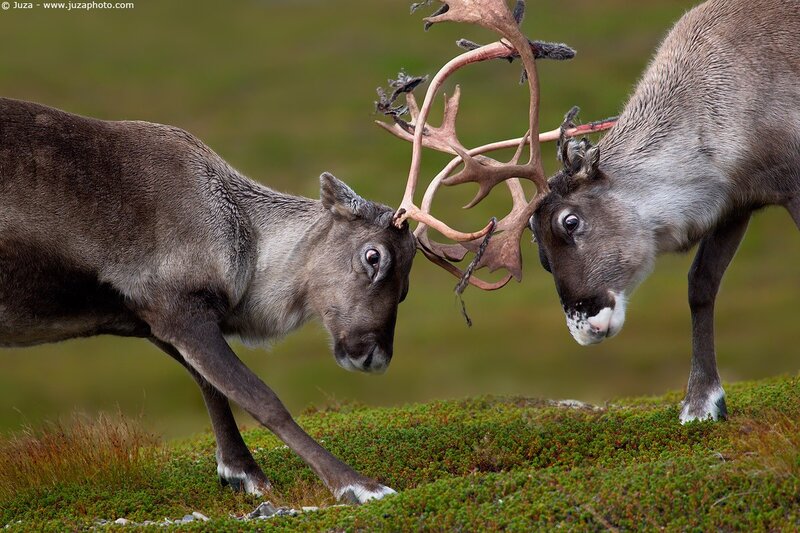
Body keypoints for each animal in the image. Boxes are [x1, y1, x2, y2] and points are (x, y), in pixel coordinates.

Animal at [0, 96, 416, 503]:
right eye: (374, 256)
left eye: (406, 289)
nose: (376, 356)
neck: (248, 243)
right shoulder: (179, 312)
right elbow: (261, 398)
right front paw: (359, 485)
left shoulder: (153, 320)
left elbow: (211, 386)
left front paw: (240, 472)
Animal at [377, 0, 798, 425]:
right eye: (540, 255)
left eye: (570, 221)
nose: (583, 328)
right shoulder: (734, 202)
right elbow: (700, 285)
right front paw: (701, 404)